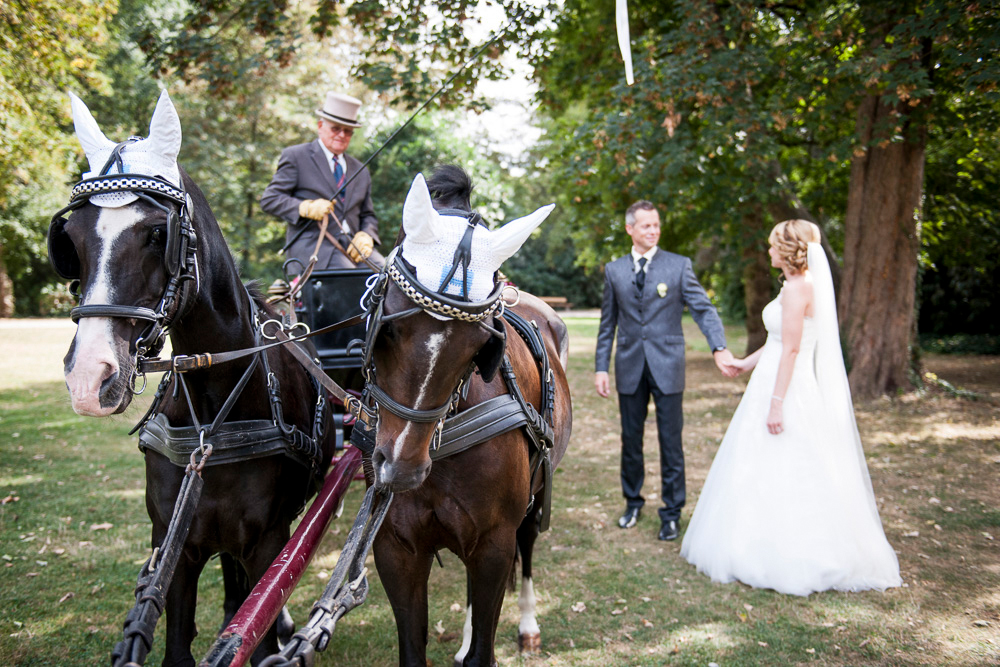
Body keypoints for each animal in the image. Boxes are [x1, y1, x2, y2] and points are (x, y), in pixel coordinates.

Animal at [362, 166, 576, 664]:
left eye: (480, 346)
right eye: (390, 328)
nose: (400, 469)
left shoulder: (493, 543)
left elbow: (485, 647)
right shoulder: (395, 547)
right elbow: (413, 648)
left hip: (535, 496)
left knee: (527, 547)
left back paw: (528, 624)